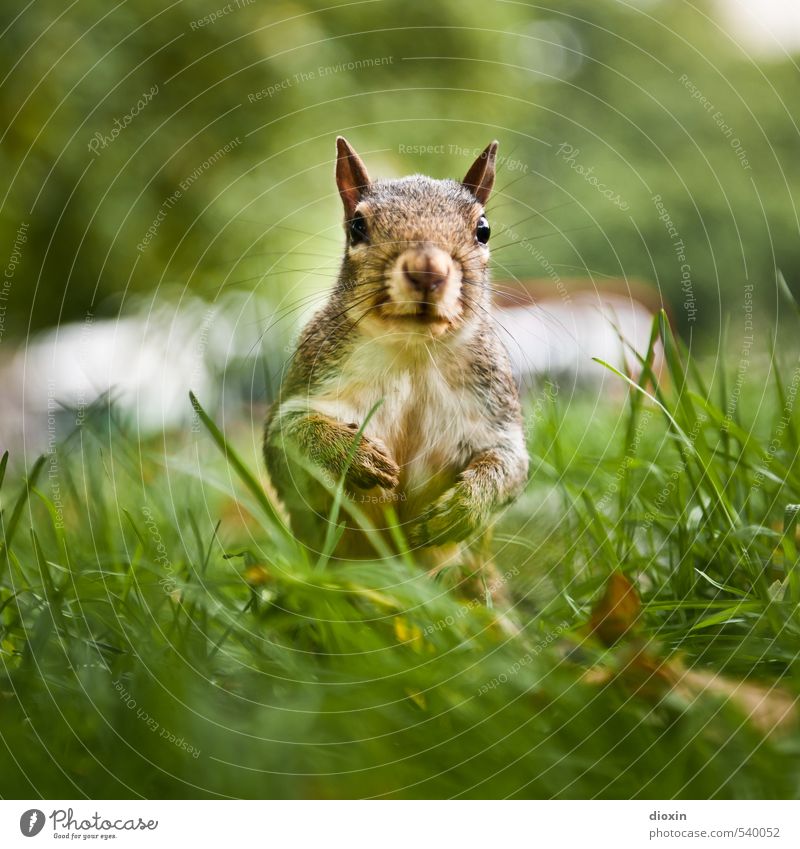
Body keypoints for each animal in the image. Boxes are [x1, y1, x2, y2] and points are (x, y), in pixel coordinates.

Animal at [264, 139, 532, 576]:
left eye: (483, 230)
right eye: (357, 226)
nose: (427, 270)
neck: (413, 350)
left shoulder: (494, 409)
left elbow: (509, 464)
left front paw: (461, 509)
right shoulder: (310, 380)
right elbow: (288, 435)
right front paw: (355, 455)